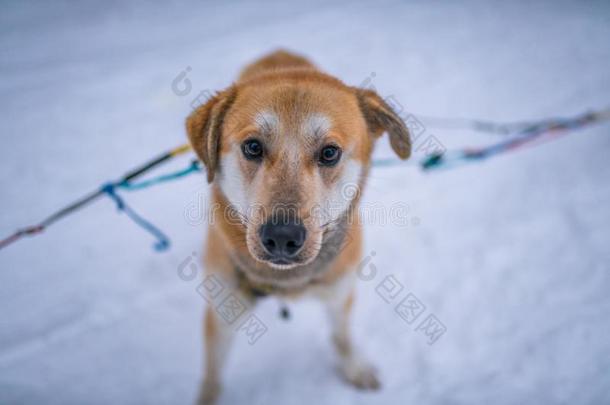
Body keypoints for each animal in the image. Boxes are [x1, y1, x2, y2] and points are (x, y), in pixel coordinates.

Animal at [185, 49, 410, 402]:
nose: (281, 237)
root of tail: (278, 51)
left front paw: (354, 369)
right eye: (252, 146)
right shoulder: (221, 312)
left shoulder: (340, 293)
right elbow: (212, 376)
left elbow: (342, 337)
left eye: (329, 152)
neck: (288, 282)